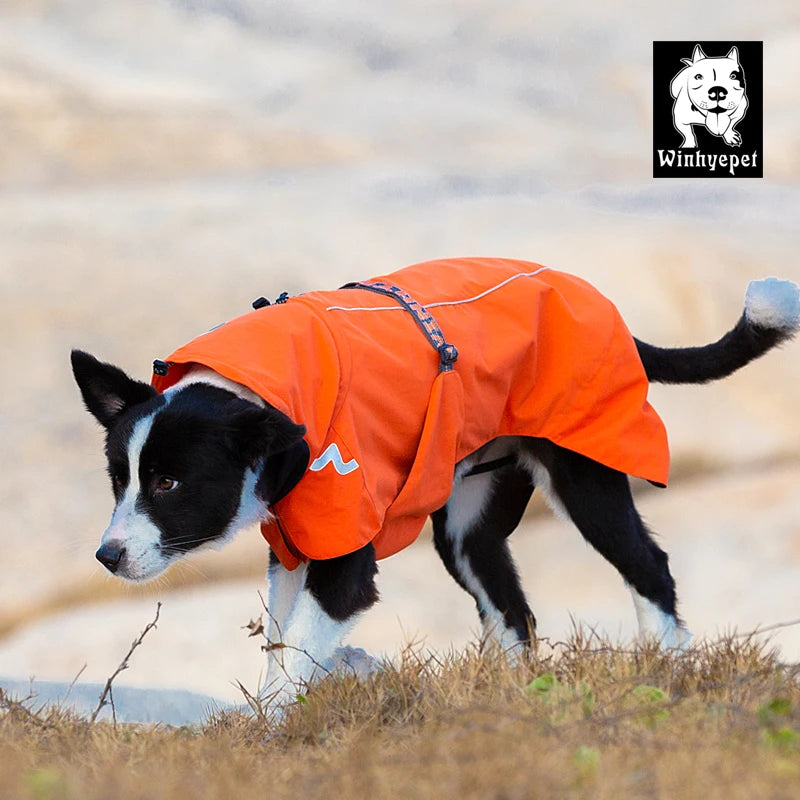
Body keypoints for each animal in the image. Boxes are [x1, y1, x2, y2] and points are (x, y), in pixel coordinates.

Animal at [72, 268, 796, 700]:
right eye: (119, 480)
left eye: (168, 483)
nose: (107, 556)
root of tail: (618, 324)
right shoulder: (294, 551)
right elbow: (281, 649)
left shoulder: (344, 567)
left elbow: (295, 658)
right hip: (466, 528)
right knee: (513, 613)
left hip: (585, 481)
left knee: (650, 567)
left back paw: (665, 670)